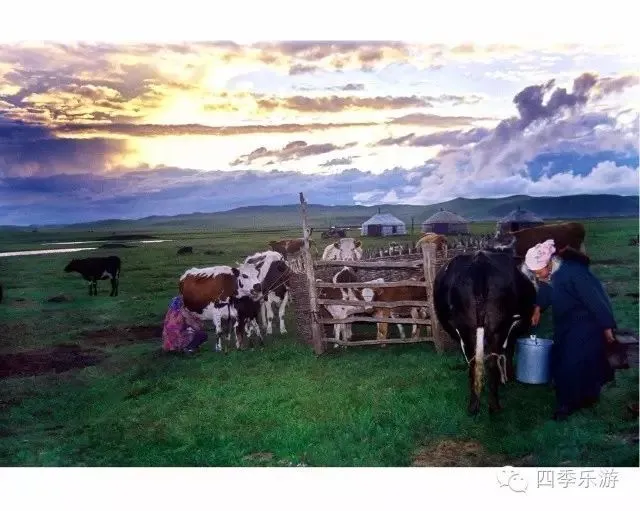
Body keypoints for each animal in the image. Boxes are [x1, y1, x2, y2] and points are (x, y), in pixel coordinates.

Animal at [432, 251, 536, 416]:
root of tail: (480, 262)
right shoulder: (511, 331)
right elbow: (508, 351)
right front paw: (509, 376)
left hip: (466, 328)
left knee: (474, 361)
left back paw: (473, 407)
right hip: (499, 327)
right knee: (492, 361)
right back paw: (495, 407)